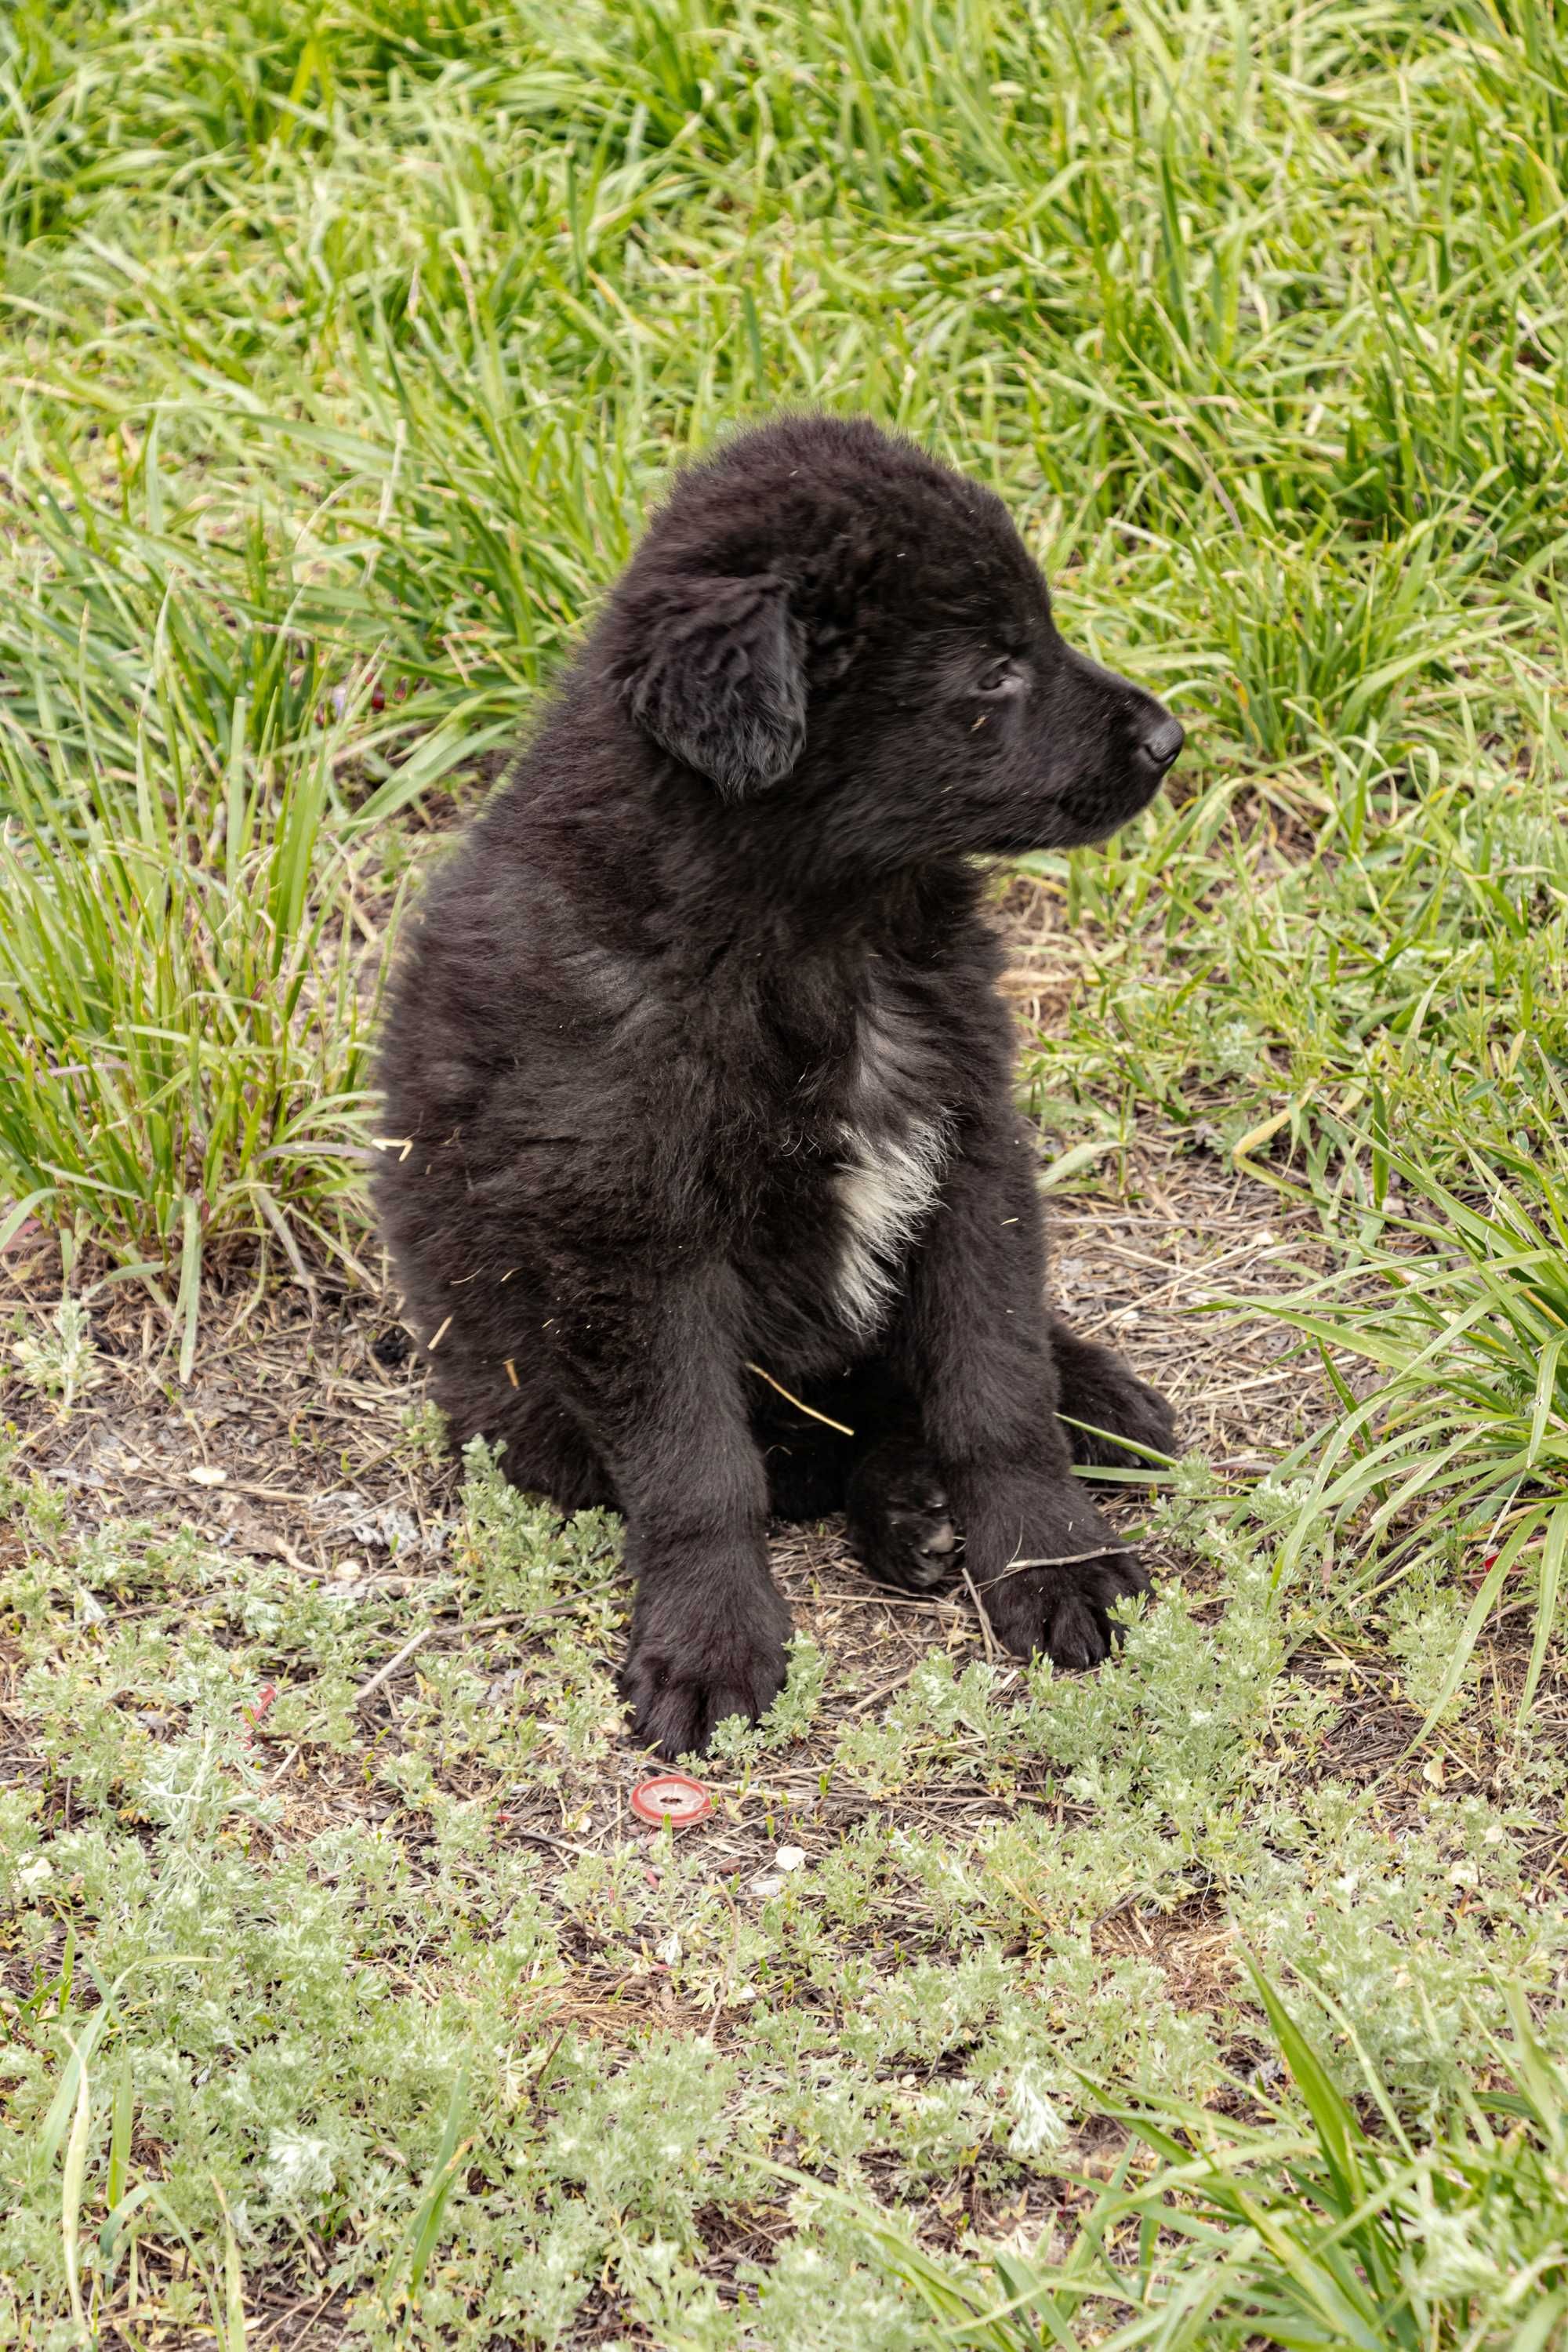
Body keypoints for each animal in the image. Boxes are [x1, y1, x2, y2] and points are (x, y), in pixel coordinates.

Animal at [380, 414, 1185, 1759]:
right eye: (994, 672)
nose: (1169, 741)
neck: (819, 934)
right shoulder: (631, 1226)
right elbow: (700, 1468)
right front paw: (711, 1641)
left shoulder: (969, 1144)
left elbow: (995, 1381)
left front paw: (1052, 1560)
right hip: (519, 1392)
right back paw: (904, 1509)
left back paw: (1079, 1408)